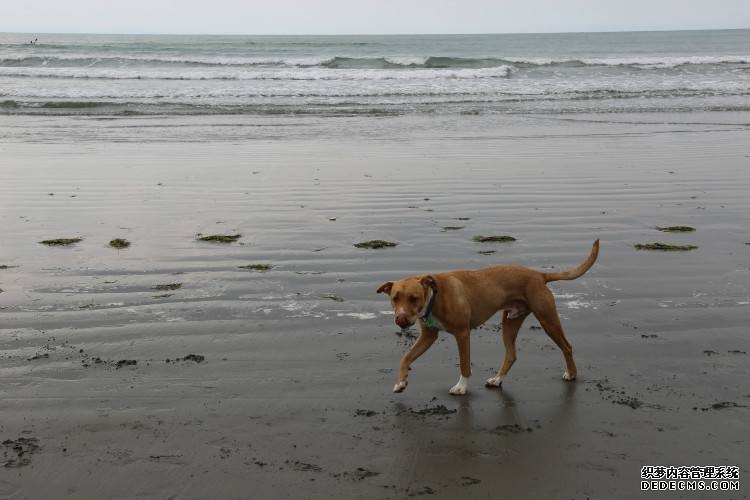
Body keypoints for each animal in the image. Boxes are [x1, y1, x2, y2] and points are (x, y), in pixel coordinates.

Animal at [378, 240, 604, 396]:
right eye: (395, 298)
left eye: (414, 298)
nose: (401, 320)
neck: (435, 297)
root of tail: (539, 275)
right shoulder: (428, 337)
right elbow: (406, 357)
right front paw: (400, 382)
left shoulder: (462, 334)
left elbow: (464, 363)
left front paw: (461, 387)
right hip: (510, 322)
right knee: (511, 355)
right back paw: (497, 379)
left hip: (548, 320)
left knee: (567, 346)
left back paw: (572, 373)